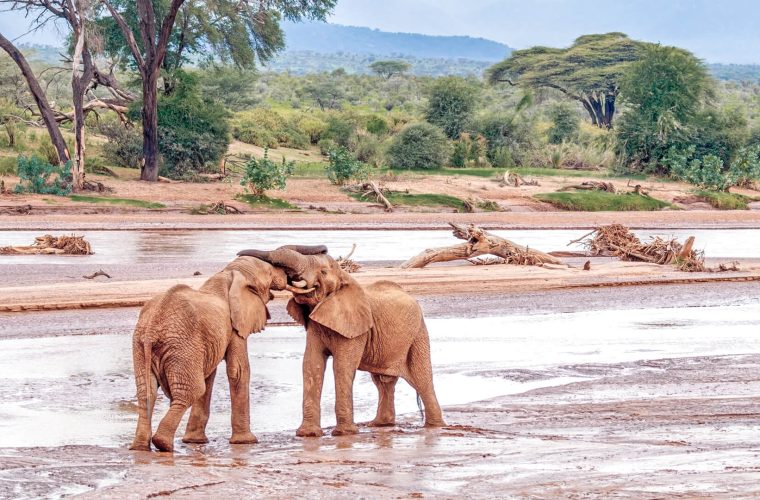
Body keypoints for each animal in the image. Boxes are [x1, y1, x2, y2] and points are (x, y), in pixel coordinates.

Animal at [129, 246, 326, 452]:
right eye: (269, 273)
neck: (229, 272)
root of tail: (152, 330)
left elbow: (211, 375)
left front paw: (195, 441)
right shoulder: (234, 325)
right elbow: (238, 370)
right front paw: (246, 442)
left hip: (145, 346)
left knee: (147, 392)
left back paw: (140, 447)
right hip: (180, 346)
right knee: (190, 391)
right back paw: (163, 444)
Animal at [238, 246, 445, 437]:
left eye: (323, 272)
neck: (344, 278)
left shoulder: (356, 327)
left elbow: (342, 366)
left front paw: (344, 433)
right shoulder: (315, 326)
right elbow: (312, 365)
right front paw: (308, 434)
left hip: (418, 333)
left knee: (421, 377)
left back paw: (435, 427)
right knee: (383, 382)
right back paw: (380, 424)